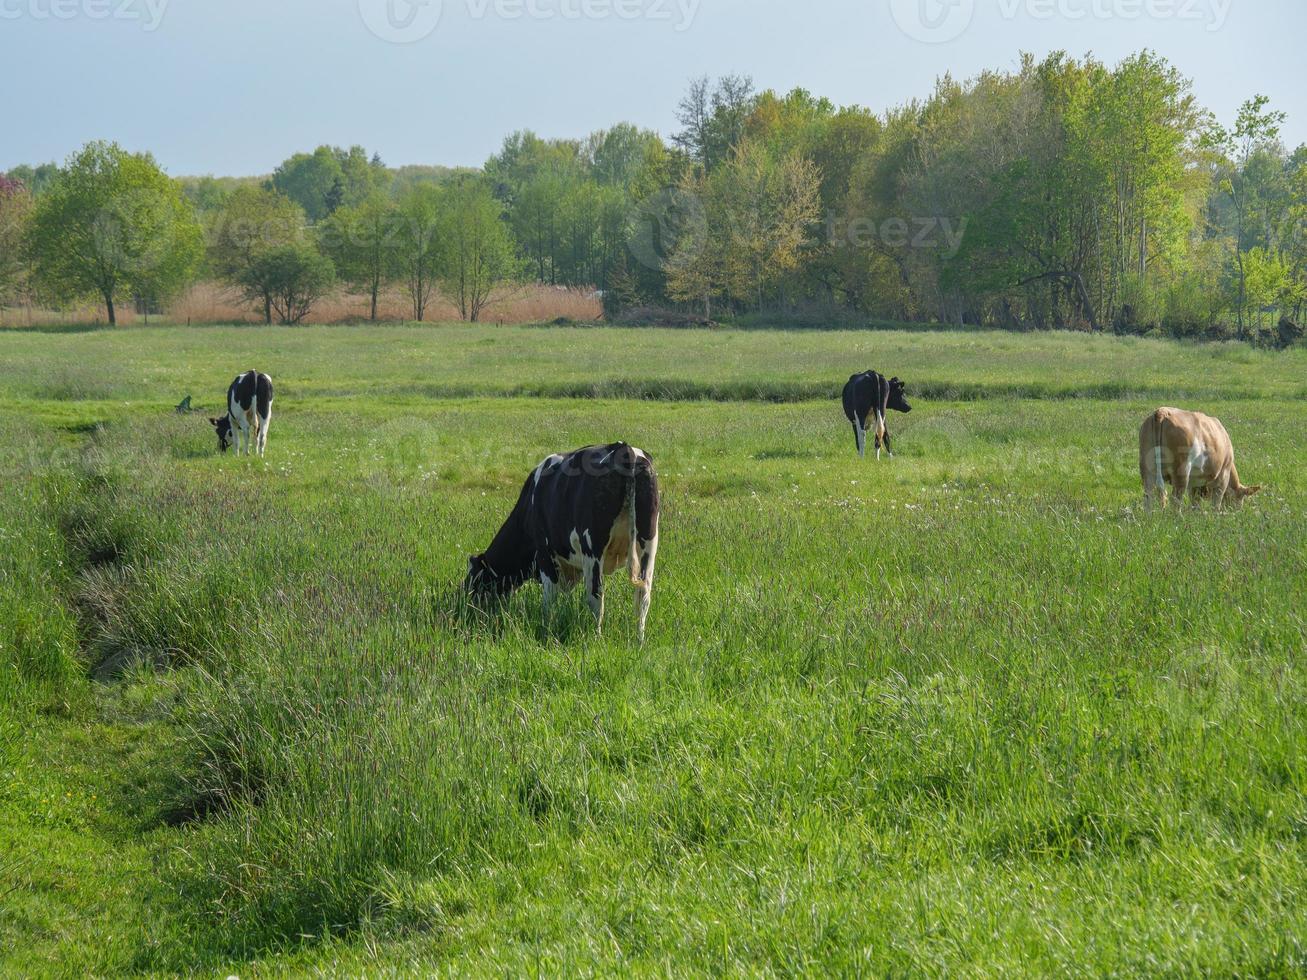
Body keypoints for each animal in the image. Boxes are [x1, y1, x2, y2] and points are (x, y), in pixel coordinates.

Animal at [465, 444, 658, 645]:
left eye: (473, 580)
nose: (467, 608)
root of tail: (624, 448)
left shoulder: (544, 551)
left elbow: (550, 597)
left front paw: (547, 628)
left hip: (592, 548)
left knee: (596, 596)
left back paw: (597, 638)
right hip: (648, 543)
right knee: (643, 596)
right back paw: (639, 641)